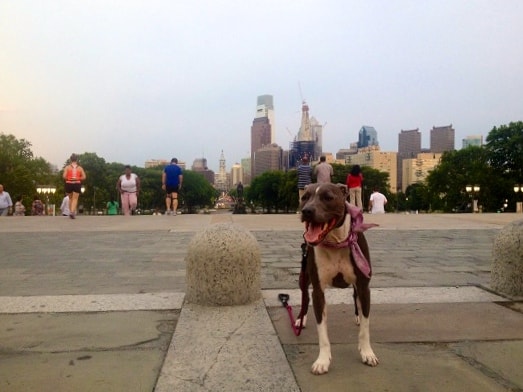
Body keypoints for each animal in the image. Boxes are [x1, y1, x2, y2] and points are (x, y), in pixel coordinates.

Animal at [296, 182, 378, 376]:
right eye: (305, 197)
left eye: (328, 197)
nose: (307, 211)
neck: (336, 241)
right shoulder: (318, 291)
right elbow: (322, 331)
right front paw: (322, 361)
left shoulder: (364, 286)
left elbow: (365, 327)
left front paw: (367, 352)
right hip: (304, 277)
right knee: (304, 298)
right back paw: (300, 319)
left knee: (355, 298)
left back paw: (357, 317)